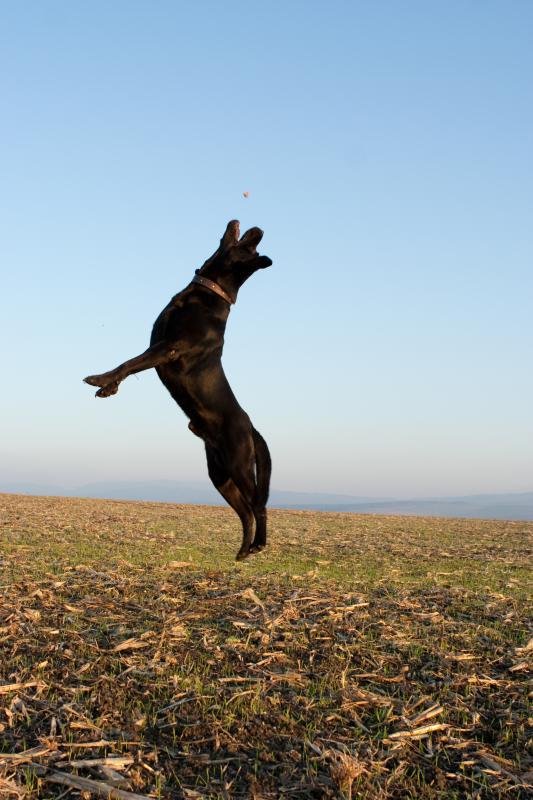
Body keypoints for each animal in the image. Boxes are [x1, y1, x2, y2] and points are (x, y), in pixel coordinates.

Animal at [86, 219, 274, 556]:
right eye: (250, 245)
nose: (259, 229)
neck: (205, 292)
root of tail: (252, 428)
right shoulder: (157, 345)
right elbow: (131, 364)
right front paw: (109, 388)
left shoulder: (169, 348)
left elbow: (129, 363)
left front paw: (101, 381)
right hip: (219, 474)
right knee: (246, 512)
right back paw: (242, 551)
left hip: (239, 465)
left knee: (258, 505)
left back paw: (259, 546)